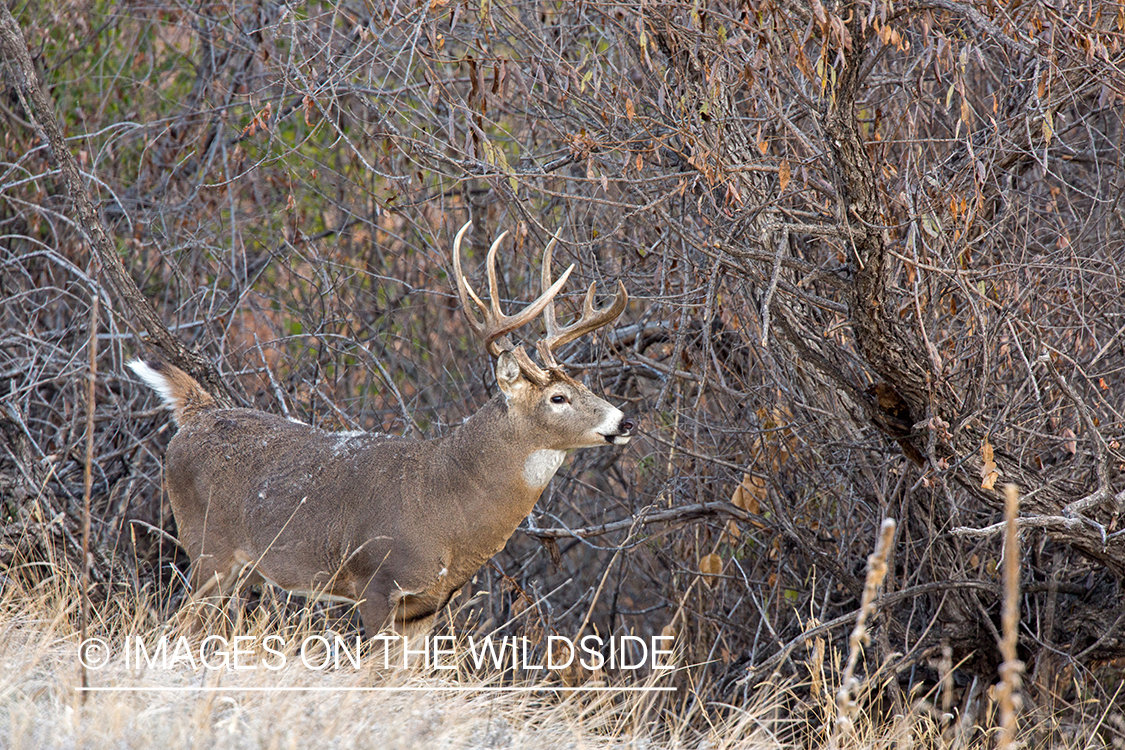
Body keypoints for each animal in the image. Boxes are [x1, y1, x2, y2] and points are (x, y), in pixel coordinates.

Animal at [128, 220, 639, 638]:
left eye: (583, 384)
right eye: (558, 398)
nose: (625, 421)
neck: (448, 503)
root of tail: (197, 414)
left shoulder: (427, 606)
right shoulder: (377, 583)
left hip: (241, 568)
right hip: (207, 546)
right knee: (176, 626)